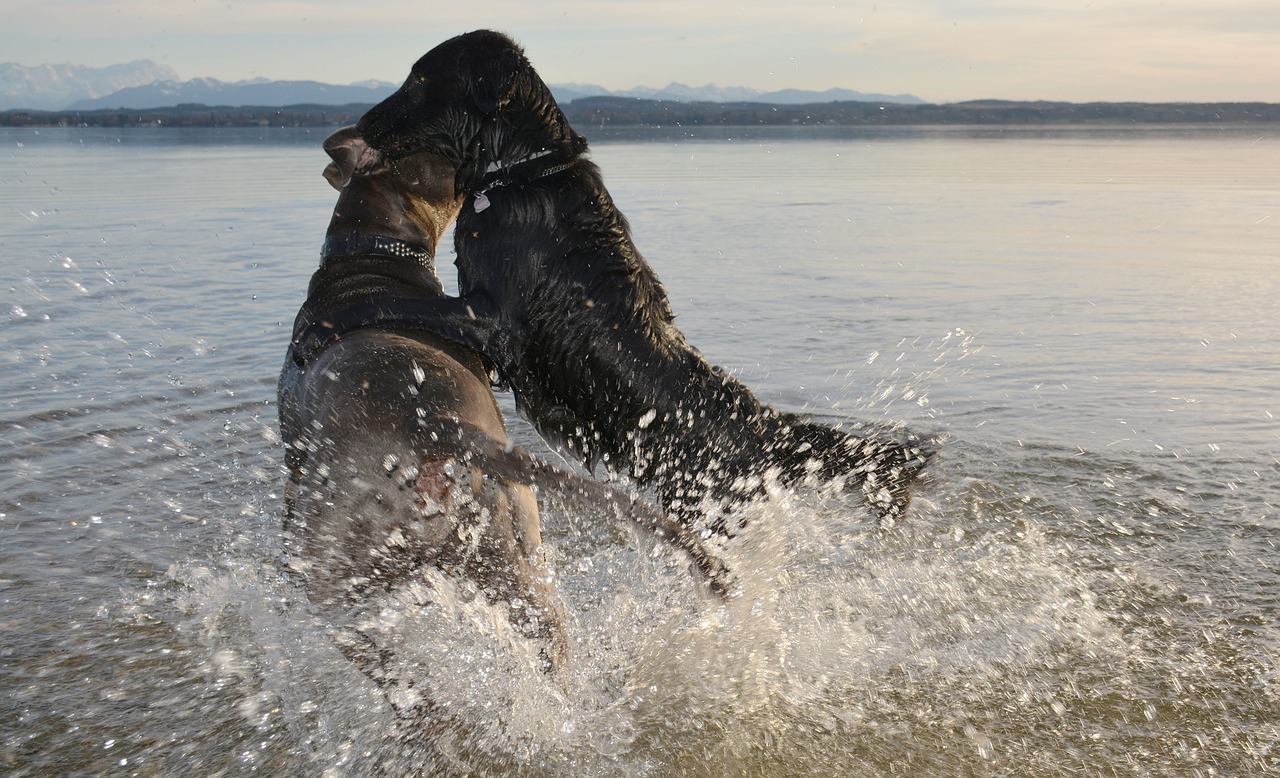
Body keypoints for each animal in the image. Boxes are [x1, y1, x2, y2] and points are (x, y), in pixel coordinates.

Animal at [355, 30, 936, 529]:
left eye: (420, 79)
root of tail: (761, 427)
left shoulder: (492, 316)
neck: (519, 174)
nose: (360, 121)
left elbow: (399, 303)